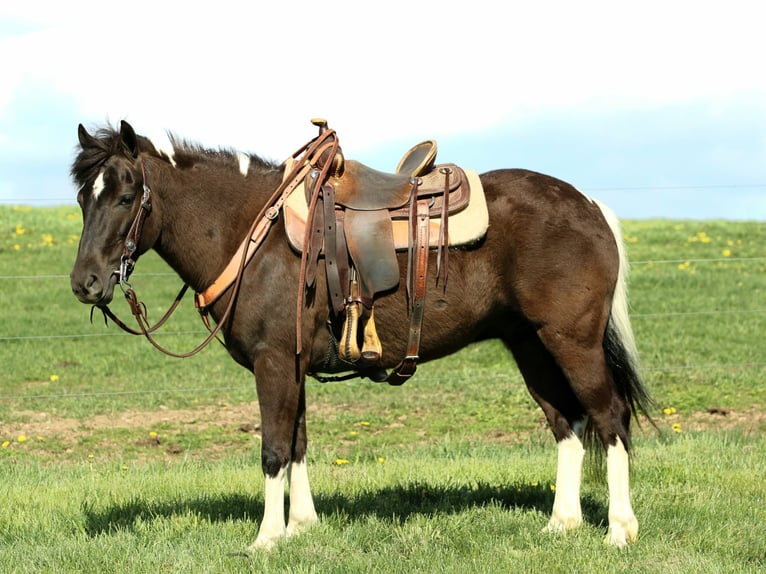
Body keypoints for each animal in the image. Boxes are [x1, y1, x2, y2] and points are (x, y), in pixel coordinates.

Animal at [69, 120, 653, 550]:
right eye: (82, 199)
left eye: (125, 197)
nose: (85, 283)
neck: (252, 234)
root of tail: (589, 205)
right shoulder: (292, 364)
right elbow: (299, 442)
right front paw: (302, 527)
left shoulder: (273, 363)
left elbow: (274, 448)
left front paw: (266, 539)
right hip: (530, 345)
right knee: (566, 423)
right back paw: (561, 523)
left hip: (572, 342)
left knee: (609, 416)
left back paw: (620, 530)